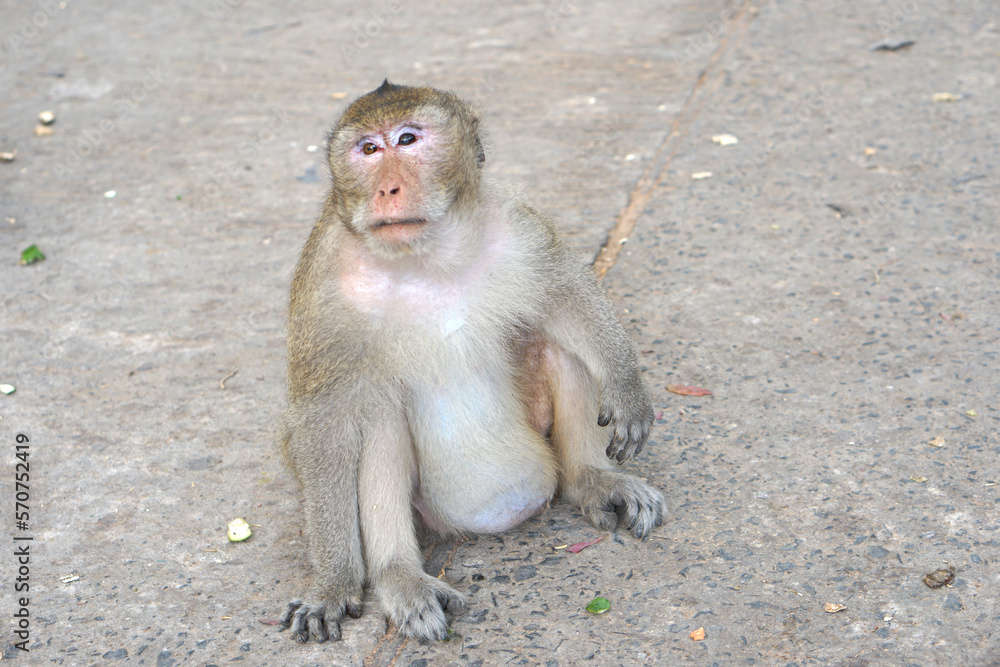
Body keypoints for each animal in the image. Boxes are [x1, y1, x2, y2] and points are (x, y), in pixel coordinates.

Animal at [277, 80, 664, 644]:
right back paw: (400, 576)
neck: (425, 255)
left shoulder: (514, 223)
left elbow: (565, 293)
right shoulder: (323, 284)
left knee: (555, 342)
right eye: (368, 150)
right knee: (378, 415)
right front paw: (333, 584)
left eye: (408, 139)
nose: (387, 190)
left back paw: (591, 478)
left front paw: (626, 382)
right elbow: (324, 421)